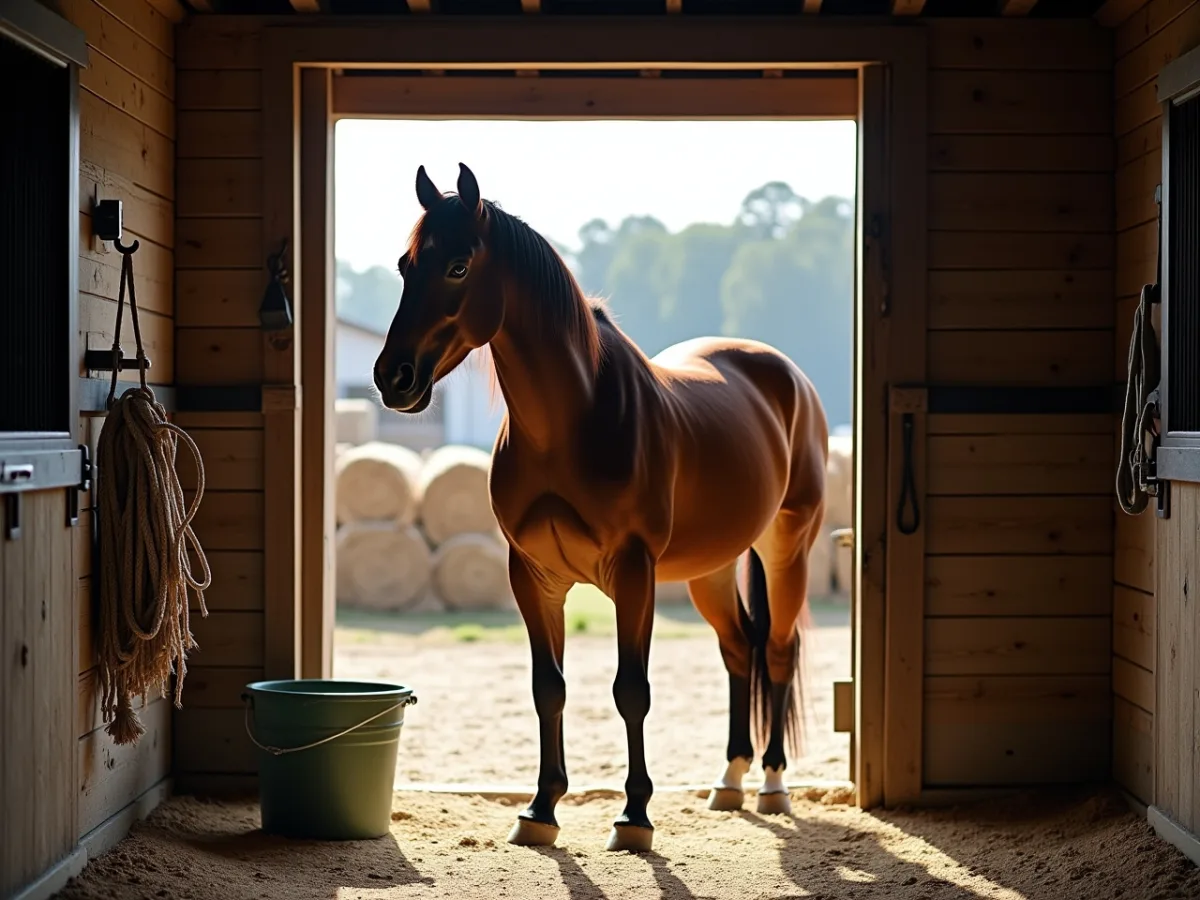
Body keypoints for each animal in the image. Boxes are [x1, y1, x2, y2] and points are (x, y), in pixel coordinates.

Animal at [374, 163, 828, 853]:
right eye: (405, 266)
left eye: (457, 265)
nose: (392, 378)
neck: (571, 423)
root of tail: (785, 376)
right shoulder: (534, 576)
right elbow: (549, 688)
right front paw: (540, 809)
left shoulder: (634, 573)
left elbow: (630, 690)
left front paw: (634, 816)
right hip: (711, 569)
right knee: (738, 649)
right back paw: (729, 780)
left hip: (786, 548)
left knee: (776, 650)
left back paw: (773, 784)